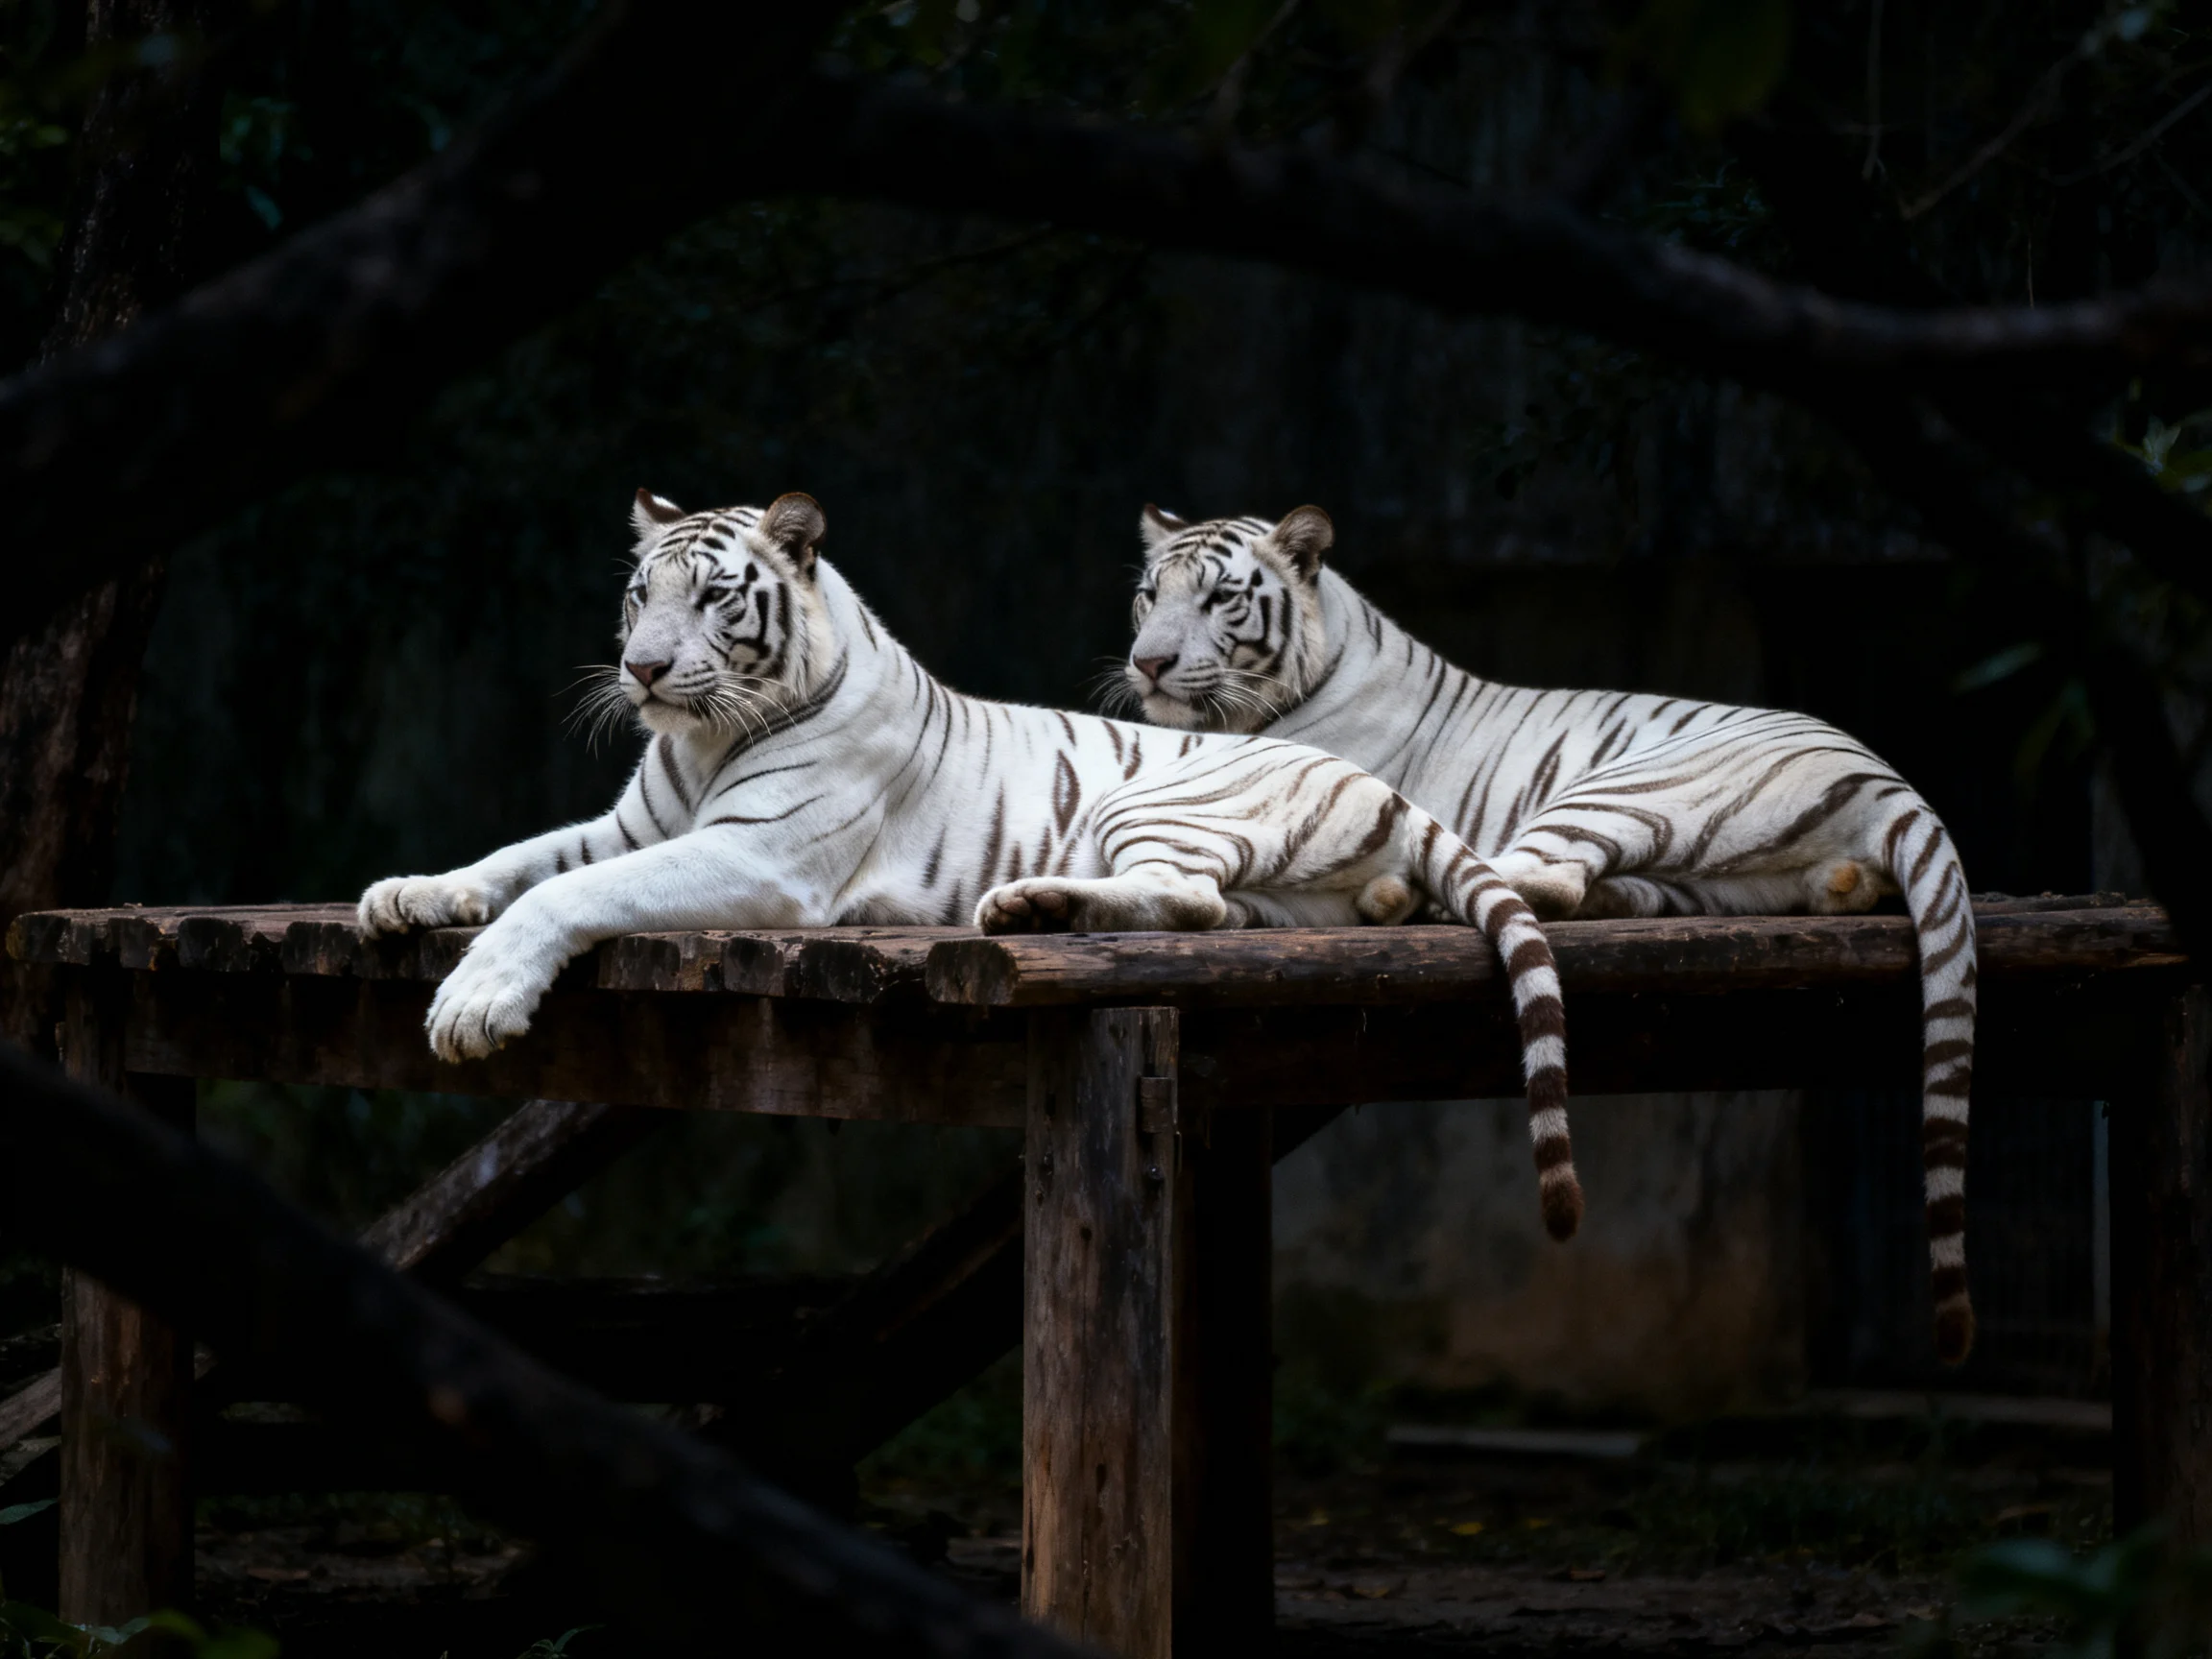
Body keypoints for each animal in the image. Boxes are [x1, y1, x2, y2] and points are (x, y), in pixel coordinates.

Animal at [357, 490, 1588, 1238]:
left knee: (1181, 894)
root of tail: (1376, 782)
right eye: (638, 595)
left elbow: (567, 892)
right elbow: (521, 856)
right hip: (1275, 894)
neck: (699, 742)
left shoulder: (758, 855)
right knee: (1218, 912)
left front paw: (474, 1004)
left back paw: (1030, 904)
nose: (643, 669)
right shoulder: (632, 825)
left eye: (710, 597)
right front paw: (403, 894)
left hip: (1151, 800)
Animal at [1119, 503, 1980, 1363]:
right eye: (1150, 594)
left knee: (1534, 878)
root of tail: (1884, 774)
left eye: (1220, 598)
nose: (1149, 663)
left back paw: (1420, 900)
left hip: (1623, 784)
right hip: (1730, 871)